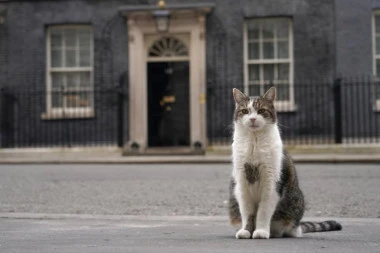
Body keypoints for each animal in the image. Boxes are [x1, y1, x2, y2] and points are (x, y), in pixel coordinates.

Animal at [229, 87, 342, 239]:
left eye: (261, 110)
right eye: (245, 111)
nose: (252, 119)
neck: (254, 141)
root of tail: (298, 226)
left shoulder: (272, 183)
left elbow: (263, 211)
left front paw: (261, 231)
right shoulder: (242, 184)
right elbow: (247, 212)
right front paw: (246, 231)